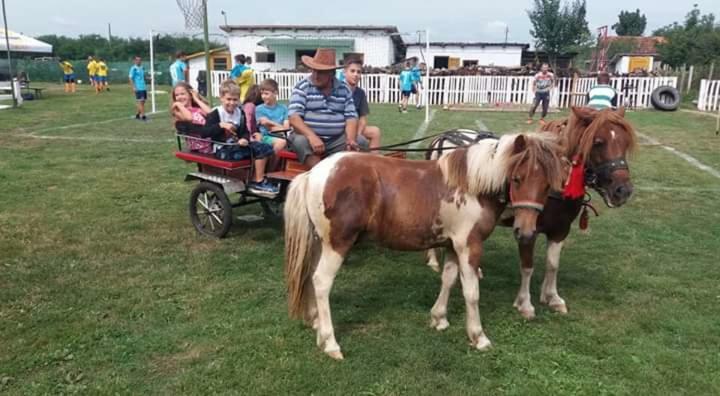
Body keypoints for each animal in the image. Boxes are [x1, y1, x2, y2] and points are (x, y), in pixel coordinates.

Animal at [284, 134, 564, 358]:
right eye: (517, 179)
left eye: (547, 185)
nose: (525, 232)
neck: (472, 186)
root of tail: (313, 174)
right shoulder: (469, 246)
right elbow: (471, 292)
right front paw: (478, 336)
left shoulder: (452, 245)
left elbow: (448, 280)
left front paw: (439, 319)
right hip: (338, 245)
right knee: (321, 282)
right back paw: (330, 343)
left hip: (320, 244)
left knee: (310, 276)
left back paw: (316, 324)